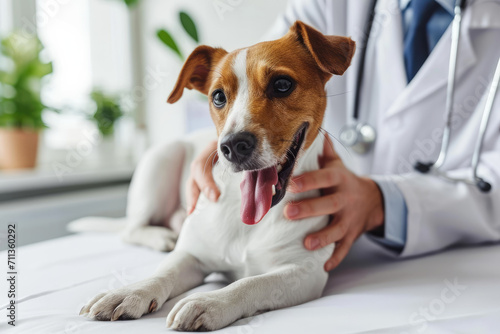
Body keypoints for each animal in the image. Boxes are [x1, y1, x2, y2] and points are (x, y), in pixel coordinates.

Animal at [79, 21, 356, 332]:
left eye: (282, 84)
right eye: (218, 96)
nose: (233, 145)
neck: (248, 220)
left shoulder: (305, 272)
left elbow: (250, 283)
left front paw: (209, 302)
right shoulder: (192, 255)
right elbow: (162, 273)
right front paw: (129, 292)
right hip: (160, 161)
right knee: (130, 228)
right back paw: (162, 236)